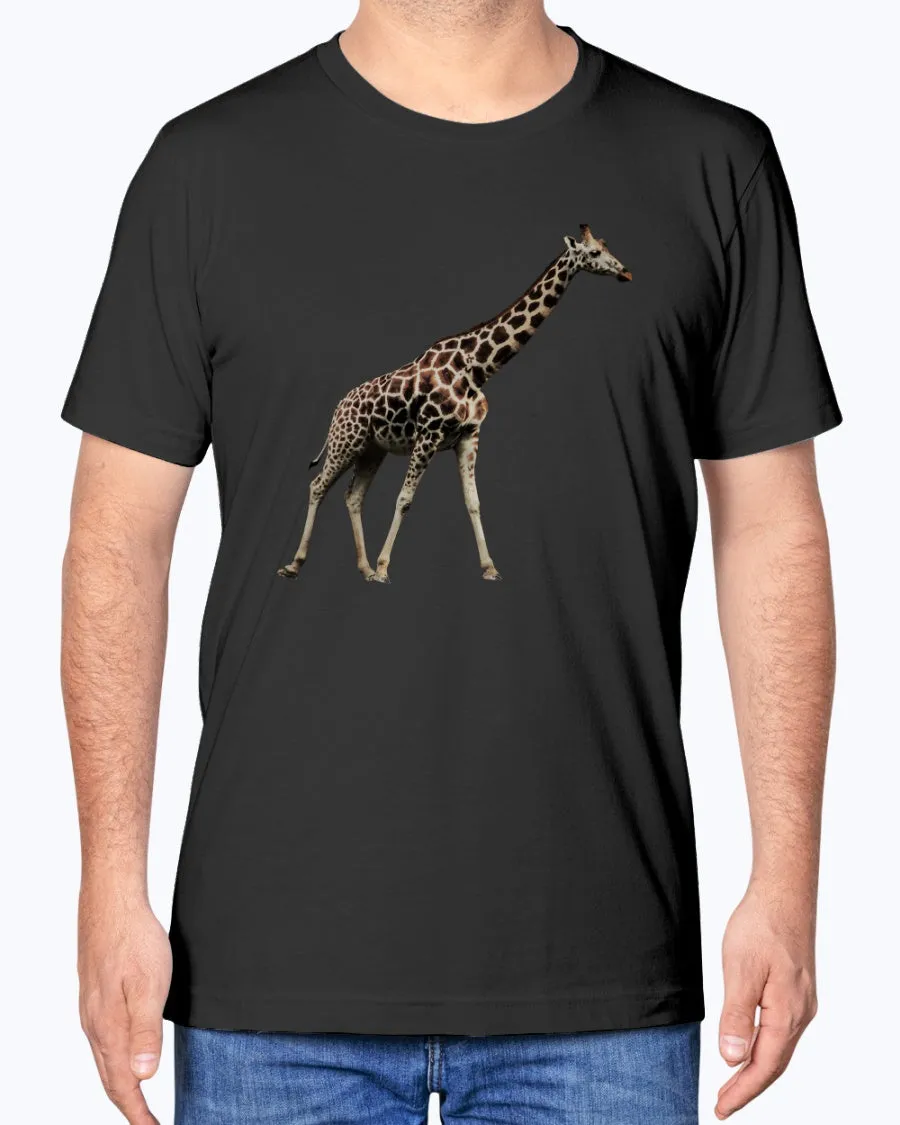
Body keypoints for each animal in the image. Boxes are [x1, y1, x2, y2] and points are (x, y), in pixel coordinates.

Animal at [277, 225, 631, 584]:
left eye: (606, 246)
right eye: (593, 252)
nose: (625, 271)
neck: (477, 368)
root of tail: (338, 408)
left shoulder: (469, 437)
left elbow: (473, 501)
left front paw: (489, 568)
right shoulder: (428, 434)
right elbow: (404, 499)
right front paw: (384, 568)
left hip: (371, 450)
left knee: (353, 496)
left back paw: (363, 568)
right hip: (345, 442)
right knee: (317, 486)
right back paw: (295, 564)